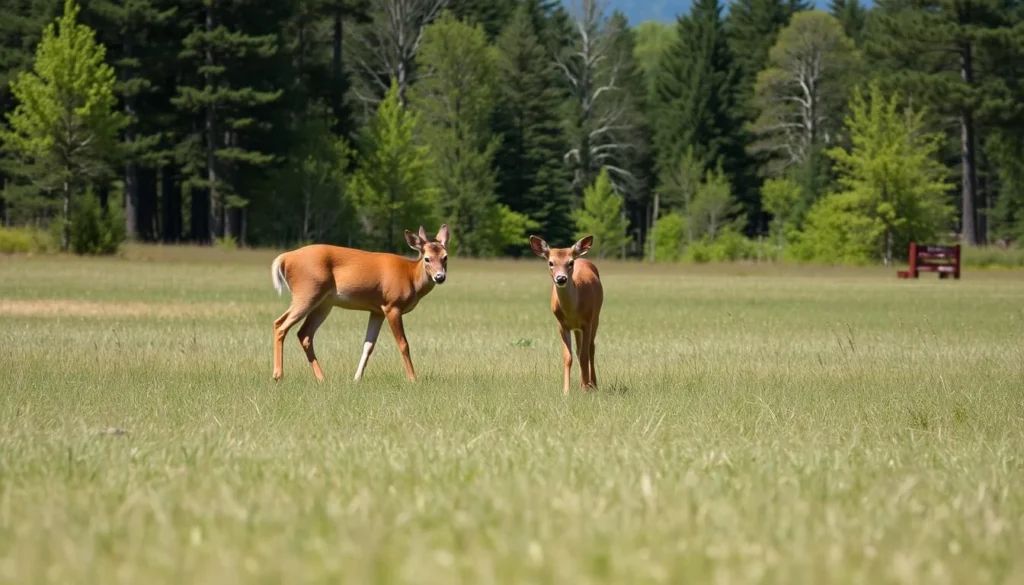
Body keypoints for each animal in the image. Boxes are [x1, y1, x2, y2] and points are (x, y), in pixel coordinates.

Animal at [269, 224, 450, 383]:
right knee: (280, 324)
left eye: (445, 257)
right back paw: (278, 375)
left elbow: (368, 345)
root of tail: (285, 258)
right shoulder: (392, 305)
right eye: (427, 258)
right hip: (306, 292)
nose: (440, 277)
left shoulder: (377, 310)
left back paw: (321, 378)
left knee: (304, 334)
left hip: (324, 303)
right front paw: (413, 379)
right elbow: (403, 344)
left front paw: (356, 378)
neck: (411, 277)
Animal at [529, 234, 604, 394]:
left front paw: (586, 389)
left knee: (591, 348)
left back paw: (593, 384)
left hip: (596, 317)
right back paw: (583, 383)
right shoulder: (562, 325)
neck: (572, 310)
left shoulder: (587, 322)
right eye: (550, 262)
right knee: (579, 349)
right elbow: (568, 357)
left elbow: (584, 355)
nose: (561, 278)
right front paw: (566, 391)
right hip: (577, 328)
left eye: (570, 262)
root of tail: (581, 257)